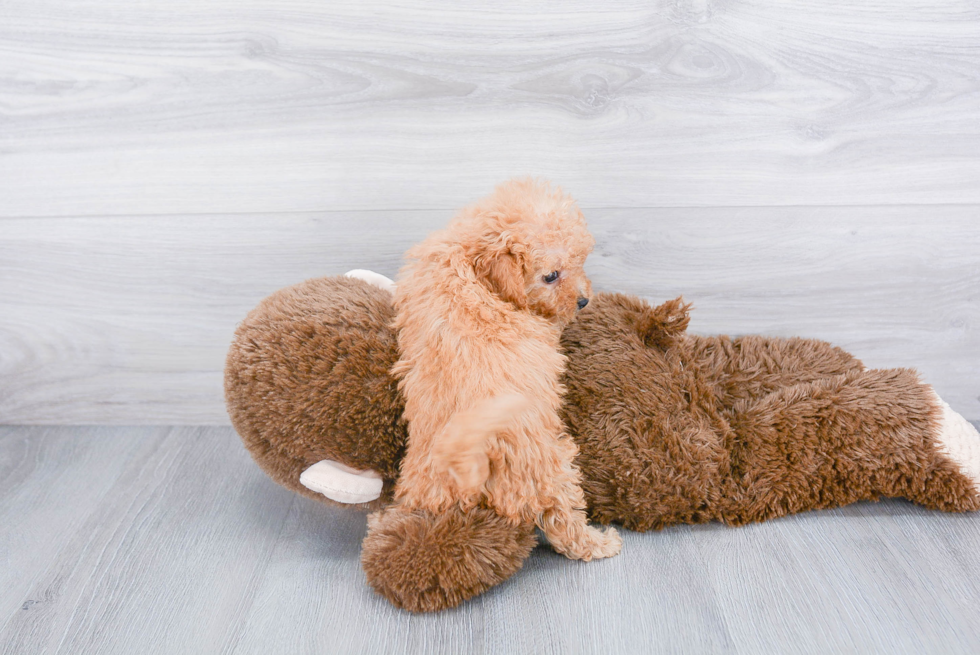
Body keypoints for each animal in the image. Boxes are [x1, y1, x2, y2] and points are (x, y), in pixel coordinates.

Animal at [390, 177, 620, 560]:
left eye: (579, 260)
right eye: (551, 276)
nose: (584, 300)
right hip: (553, 466)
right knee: (565, 523)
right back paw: (601, 542)